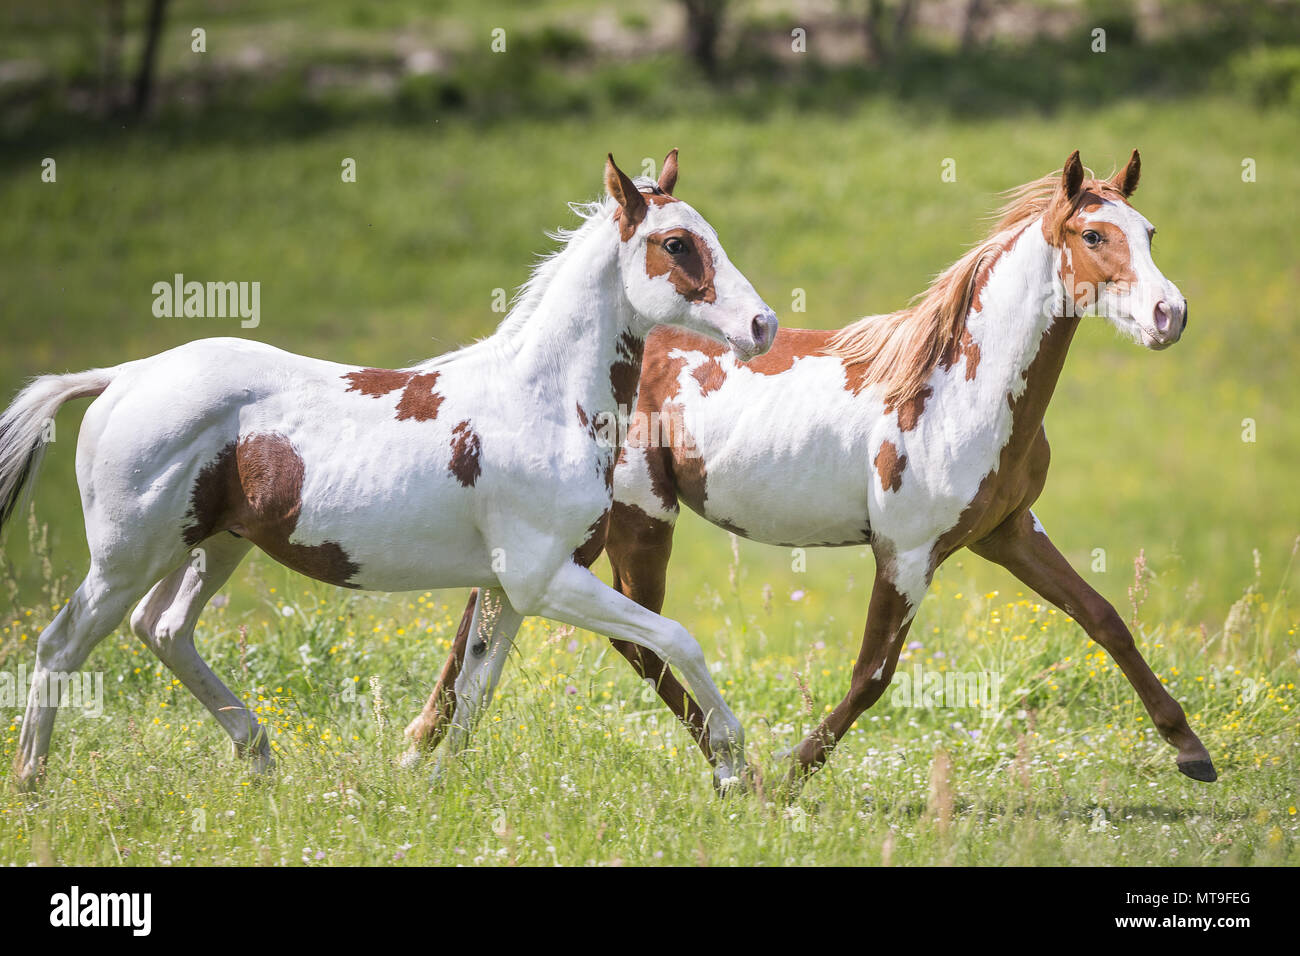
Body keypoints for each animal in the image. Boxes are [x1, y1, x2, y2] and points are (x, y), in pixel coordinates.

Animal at [0, 150, 780, 791]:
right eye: (676, 245)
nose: (764, 326)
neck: (544, 401)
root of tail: (122, 376)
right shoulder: (545, 579)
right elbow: (676, 638)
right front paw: (733, 765)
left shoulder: (511, 591)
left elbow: (474, 691)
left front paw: (434, 787)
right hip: (128, 555)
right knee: (60, 645)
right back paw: (33, 784)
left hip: (214, 545)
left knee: (161, 629)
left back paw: (259, 756)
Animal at [410, 150, 1217, 789]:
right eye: (1094, 234)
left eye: (1148, 232)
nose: (1170, 314)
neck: (956, 387)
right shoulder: (906, 552)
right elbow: (873, 675)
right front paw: (791, 774)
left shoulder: (1009, 531)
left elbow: (1106, 620)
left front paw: (1191, 751)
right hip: (634, 522)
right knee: (629, 636)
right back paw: (732, 768)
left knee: (509, 616)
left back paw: (423, 744)